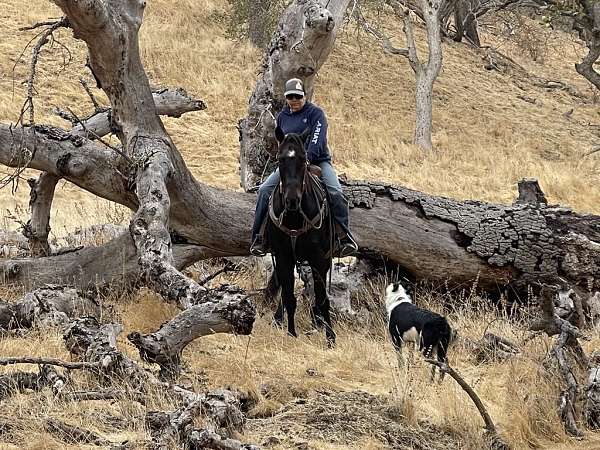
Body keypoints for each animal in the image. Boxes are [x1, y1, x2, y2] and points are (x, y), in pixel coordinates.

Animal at [264, 128, 336, 346]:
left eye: (303, 158)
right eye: (280, 159)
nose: (292, 200)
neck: (295, 216)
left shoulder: (319, 259)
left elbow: (322, 299)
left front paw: (330, 338)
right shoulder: (283, 255)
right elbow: (288, 297)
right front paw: (290, 332)